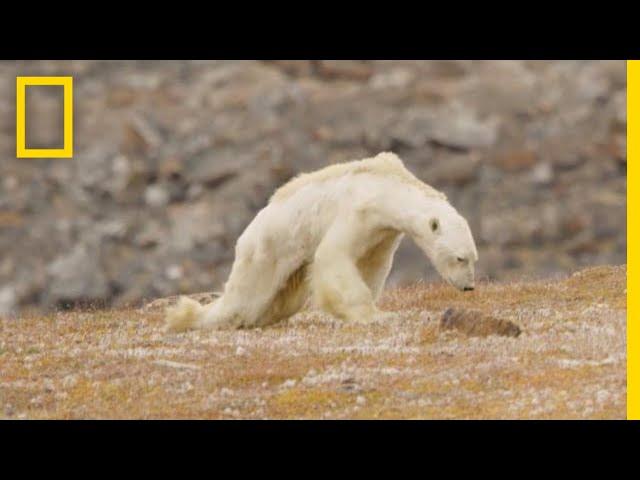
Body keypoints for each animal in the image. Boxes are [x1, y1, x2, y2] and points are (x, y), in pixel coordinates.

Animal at [165, 152, 476, 332]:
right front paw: (373, 315)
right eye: (460, 258)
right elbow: (333, 256)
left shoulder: (383, 233)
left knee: (281, 301)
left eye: (473, 258)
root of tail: (246, 235)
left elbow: (372, 265)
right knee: (244, 299)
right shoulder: (357, 211)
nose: (468, 286)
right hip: (266, 250)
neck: (387, 186)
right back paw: (188, 317)